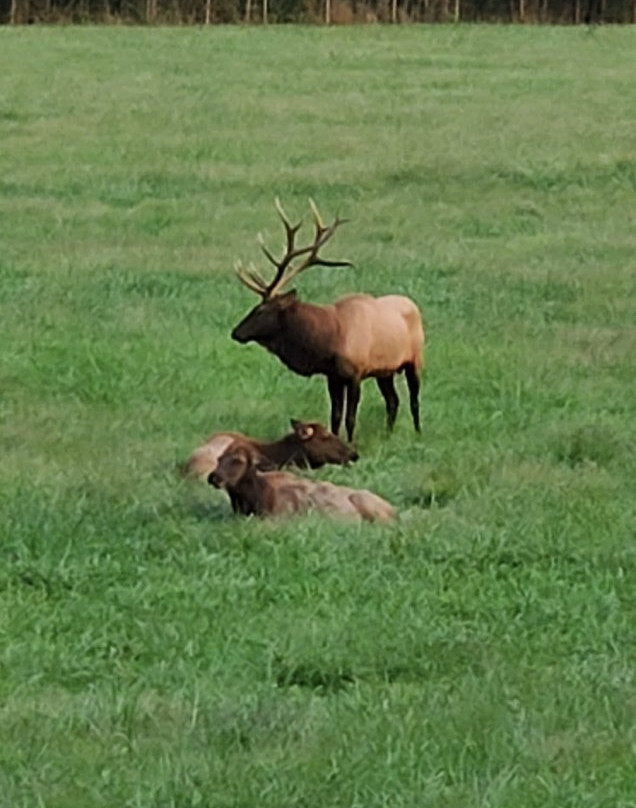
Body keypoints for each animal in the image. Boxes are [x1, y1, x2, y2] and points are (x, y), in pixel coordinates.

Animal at [231, 200, 424, 442]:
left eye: (262, 309)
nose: (235, 332)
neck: (329, 340)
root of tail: (413, 305)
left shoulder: (355, 373)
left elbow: (350, 418)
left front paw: (351, 443)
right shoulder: (333, 376)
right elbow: (335, 416)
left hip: (415, 359)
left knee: (414, 399)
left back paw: (418, 433)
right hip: (385, 371)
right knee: (393, 401)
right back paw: (388, 435)